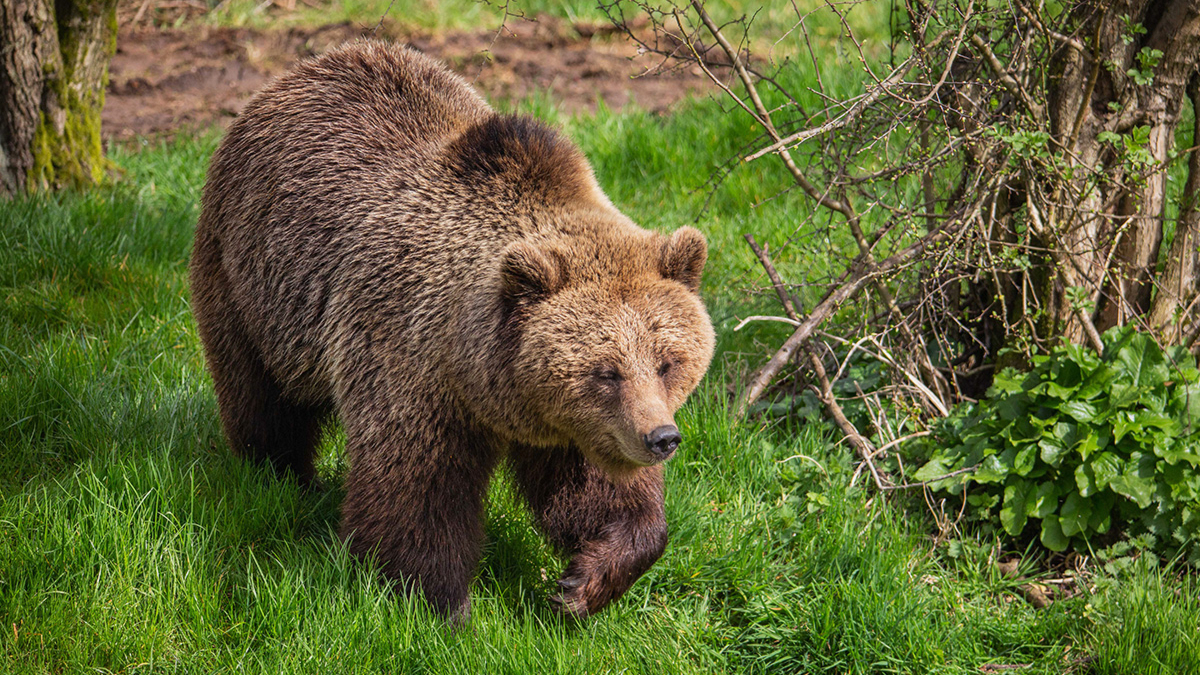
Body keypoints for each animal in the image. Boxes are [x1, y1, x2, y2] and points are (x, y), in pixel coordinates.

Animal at [187, 40, 710, 619]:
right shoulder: (408, 357)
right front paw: (441, 604)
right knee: (263, 400)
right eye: (606, 371)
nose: (661, 437)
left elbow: (597, 488)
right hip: (251, 284)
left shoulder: (572, 424)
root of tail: (298, 74)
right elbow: (418, 492)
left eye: (668, 363)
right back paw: (281, 479)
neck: (478, 374)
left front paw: (582, 582)